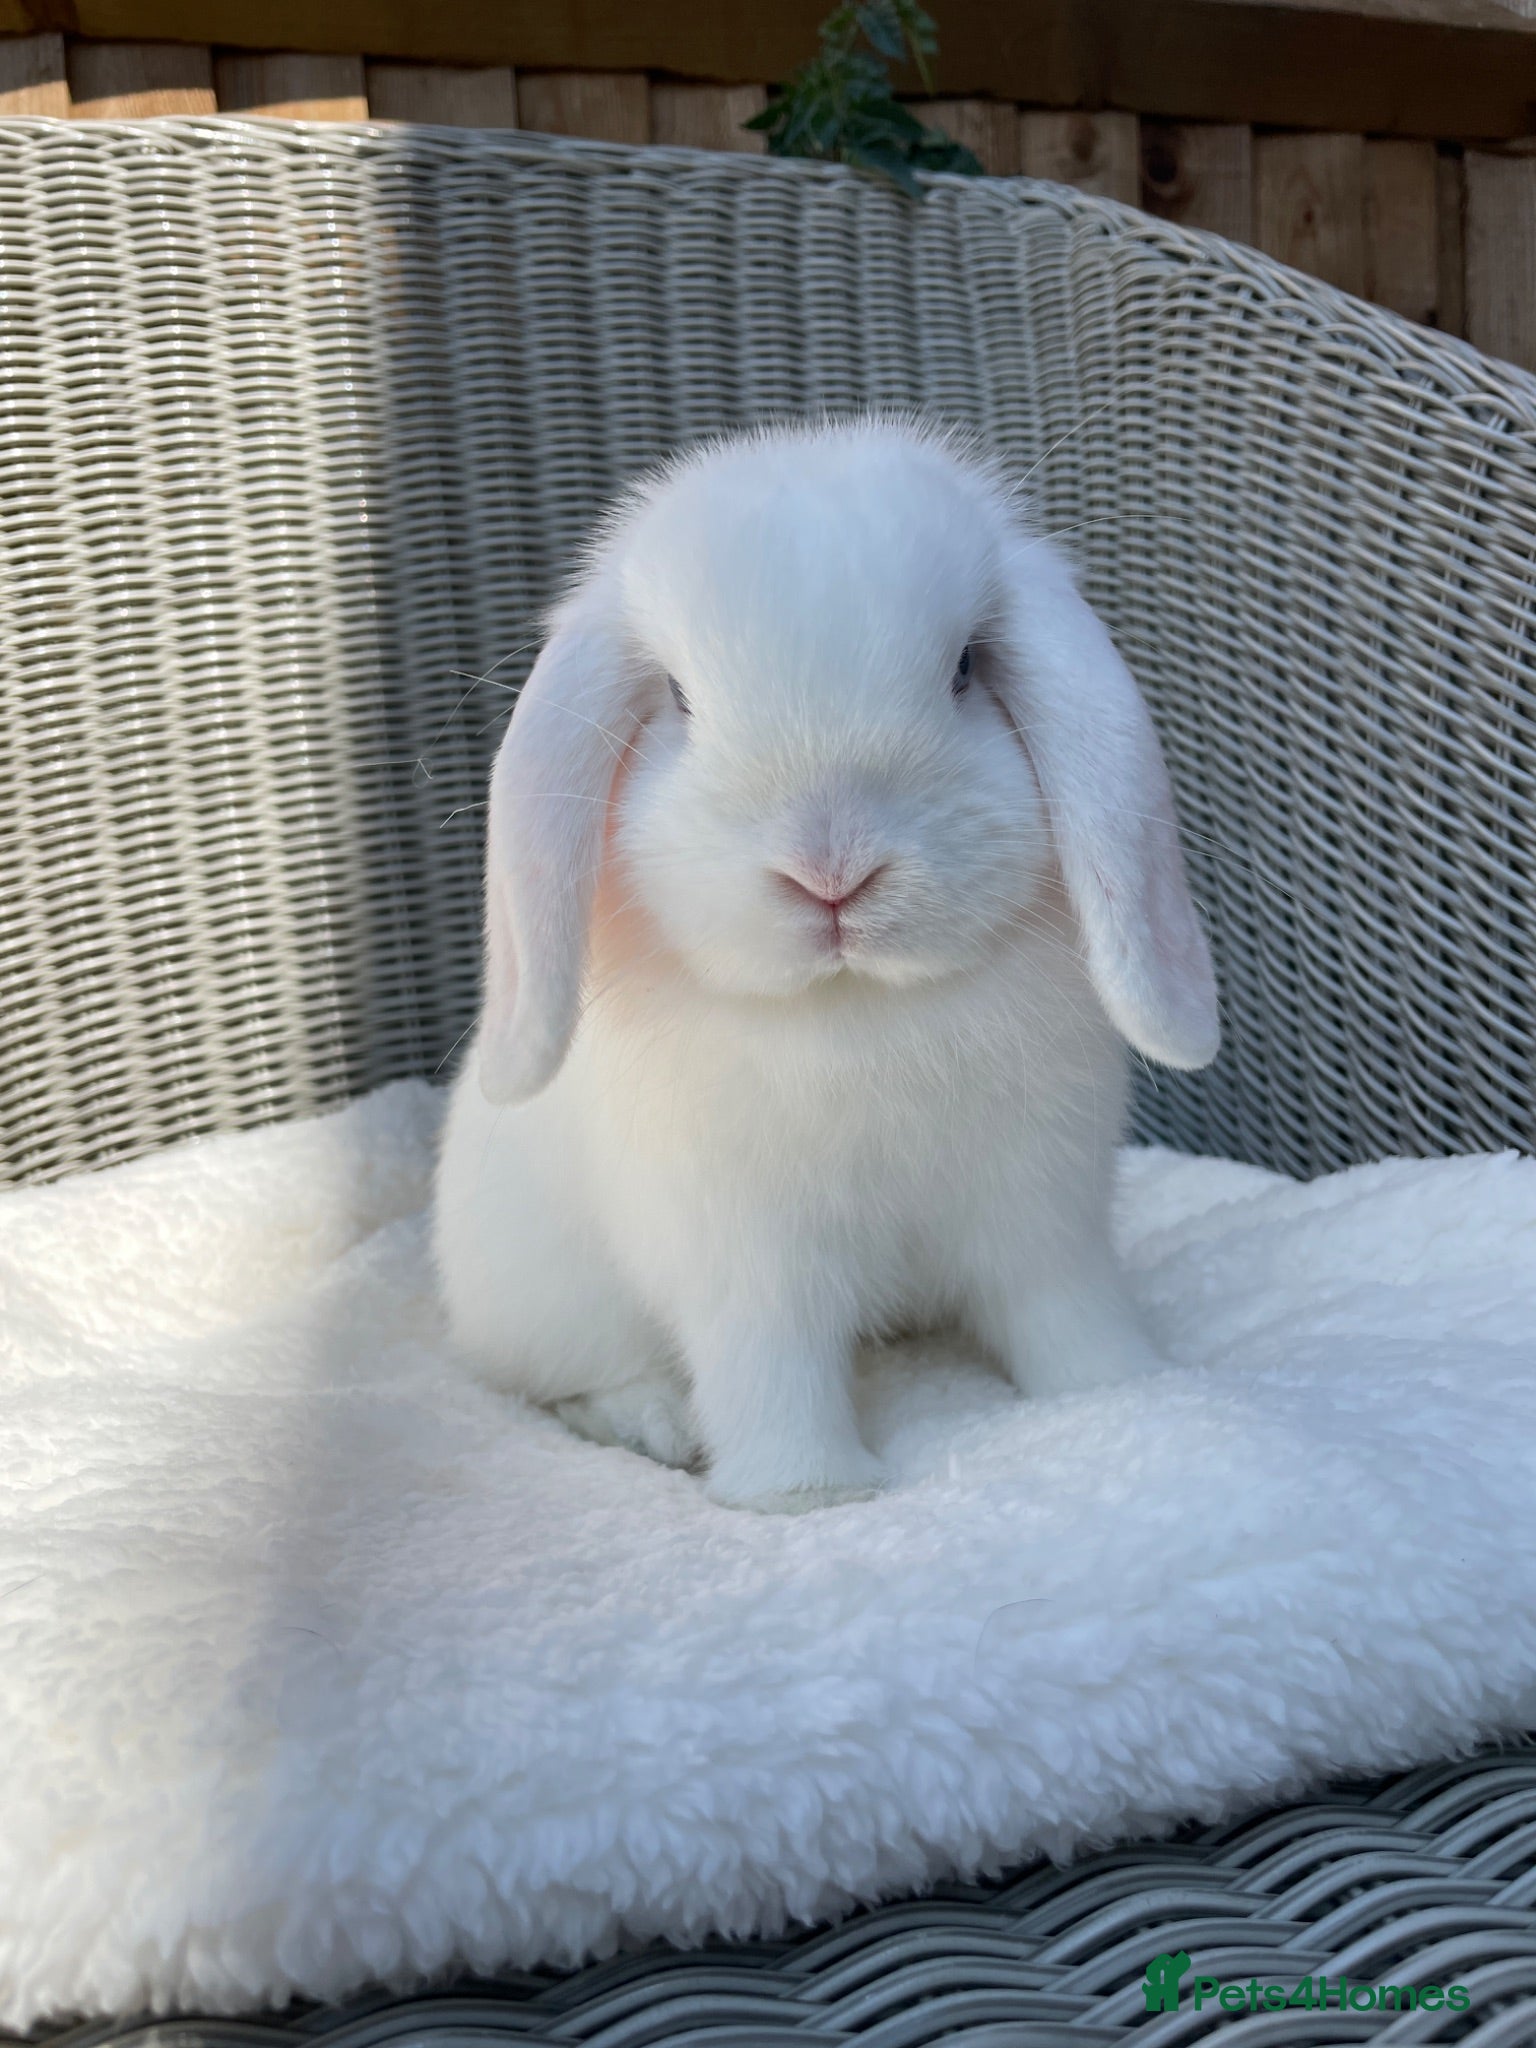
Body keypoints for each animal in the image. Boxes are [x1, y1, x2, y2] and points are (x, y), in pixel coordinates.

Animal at [433, 418, 1219, 1512]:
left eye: (964, 668)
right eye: (678, 698)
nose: (831, 872)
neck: (859, 1010)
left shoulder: (1043, 1209)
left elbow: (1065, 1307)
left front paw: (1123, 1390)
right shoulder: (750, 1260)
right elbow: (773, 1368)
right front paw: (805, 1492)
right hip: (547, 1310)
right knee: (566, 1385)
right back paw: (655, 1423)